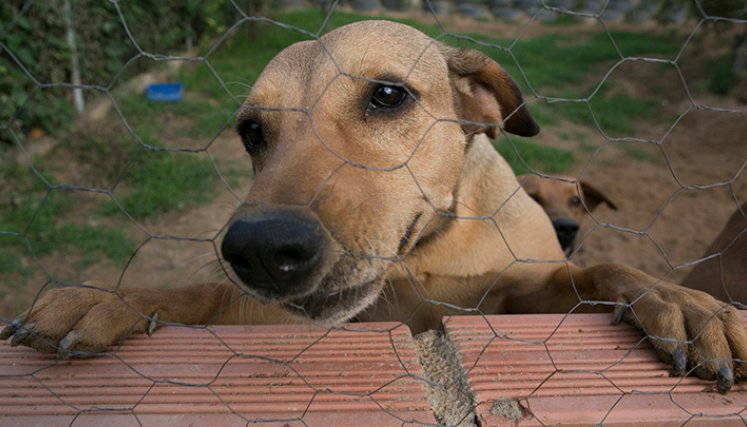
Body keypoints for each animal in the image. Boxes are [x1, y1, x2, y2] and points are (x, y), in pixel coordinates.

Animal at [1, 21, 747, 392]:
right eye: (252, 132)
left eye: (387, 95)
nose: (260, 249)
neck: (429, 250)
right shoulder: (296, 315)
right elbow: (199, 291)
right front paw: (108, 297)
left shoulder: (518, 296)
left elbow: (605, 270)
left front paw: (687, 304)